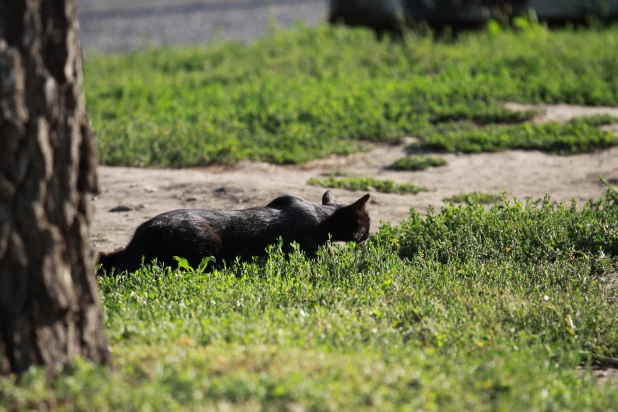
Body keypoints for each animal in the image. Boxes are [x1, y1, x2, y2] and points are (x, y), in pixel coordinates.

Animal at [95, 189, 366, 274]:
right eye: (366, 222)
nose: (368, 235)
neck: (321, 218)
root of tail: (147, 229)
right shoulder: (312, 252)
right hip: (207, 250)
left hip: (114, 254)